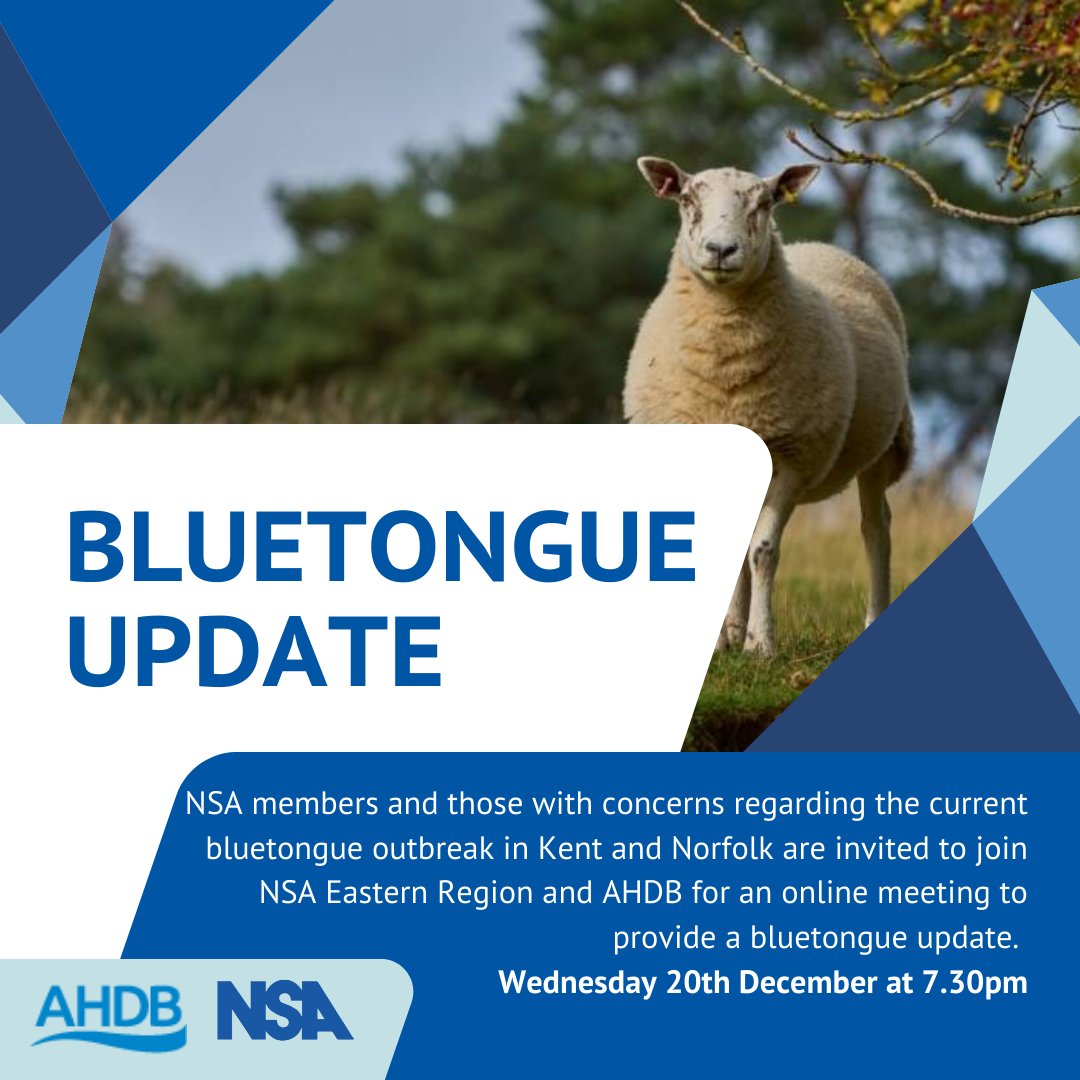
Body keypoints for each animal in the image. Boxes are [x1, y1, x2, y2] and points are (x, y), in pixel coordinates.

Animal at [624, 157, 913, 657]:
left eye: (764, 203)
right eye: (687, 199)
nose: (721, 249)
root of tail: (817, 247)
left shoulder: (793, 456)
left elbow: (762, 550)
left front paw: (760, 646)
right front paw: (727, 640)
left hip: (884, 447)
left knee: (876, 528)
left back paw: (872, 618)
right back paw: (731, 631)